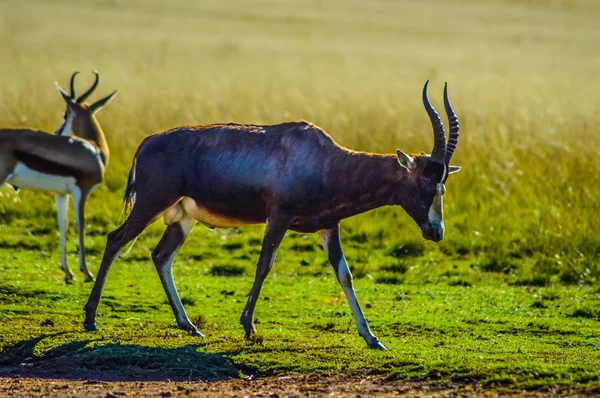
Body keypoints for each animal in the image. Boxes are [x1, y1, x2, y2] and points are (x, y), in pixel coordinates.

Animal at [0, 72, 116, 282]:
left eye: (64, 115)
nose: (56, 131)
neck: (95, 150)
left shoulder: (61, 194)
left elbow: (63, 224)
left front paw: (68, 271)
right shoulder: (82, 190)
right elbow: (81, 224)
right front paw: (87, 272)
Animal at [83, 80, 460, 348]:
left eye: (443, 186)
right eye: (427, 185)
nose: (436, 232)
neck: (325, 159)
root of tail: (146, 143)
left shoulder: (328, 227)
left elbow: (345, 275)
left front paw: (373, 339)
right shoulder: (278, 218)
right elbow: (265, 265)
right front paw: (249, 327)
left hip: (183, 219)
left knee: (161, 256)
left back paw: (189, 326)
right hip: (151, 204)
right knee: (115, 240)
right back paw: (90, 319)